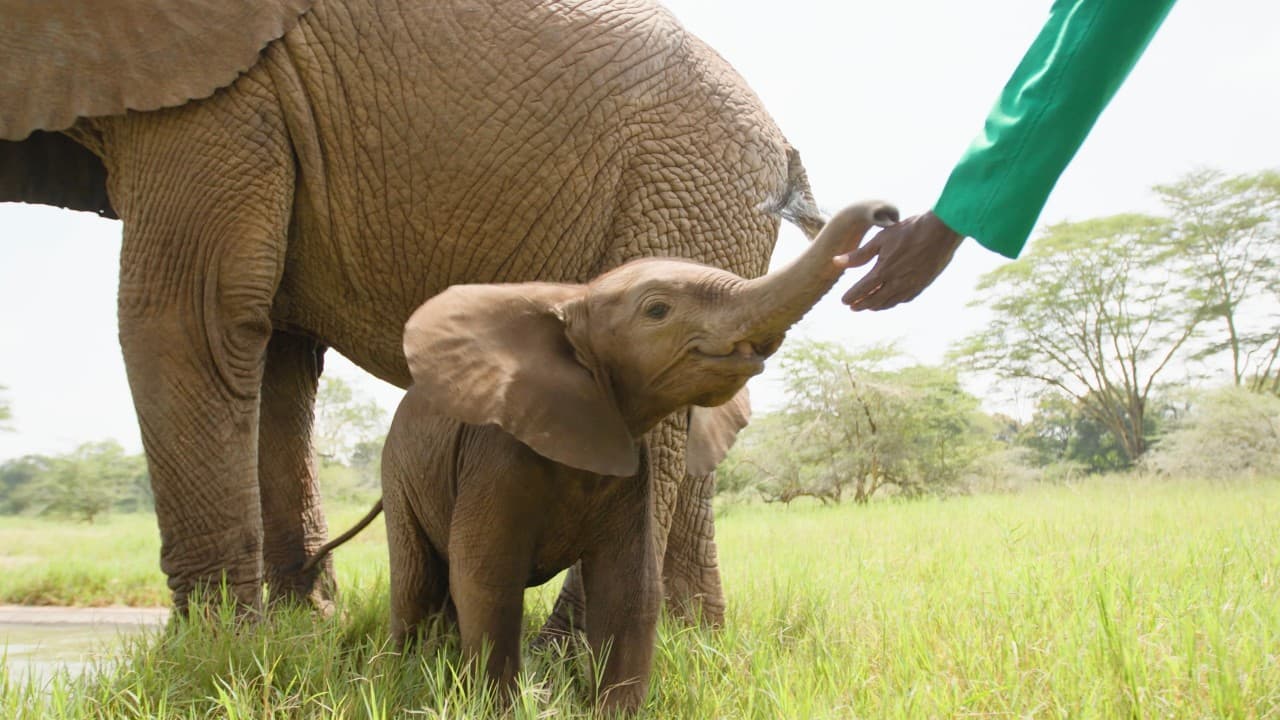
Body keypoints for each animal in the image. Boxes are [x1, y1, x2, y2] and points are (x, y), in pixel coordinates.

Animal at [0, 0, 831, 619]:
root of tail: (784, 148)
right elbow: (273, 347)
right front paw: (299, 633)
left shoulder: (224, 90)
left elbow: (189, 318)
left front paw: (212, 656)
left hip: (687, 189)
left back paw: (567, 662)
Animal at [361, 201, 895, 712]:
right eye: (657, 310)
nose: (886, 215)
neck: (575, 300)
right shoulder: (496, 457)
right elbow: (486, 580)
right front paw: (496, 709)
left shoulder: (632, 467)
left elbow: (629, 588)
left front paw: (614, 711)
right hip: (397, 473)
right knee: (415, 583)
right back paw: (402, 673)